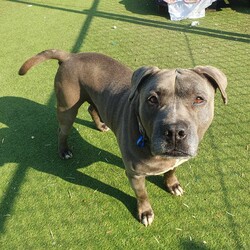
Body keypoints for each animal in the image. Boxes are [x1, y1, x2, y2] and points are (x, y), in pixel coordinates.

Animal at [18, 49, 228, 227]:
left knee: (92, 108)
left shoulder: (174, 160)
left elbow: (171, 171)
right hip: (67, 108)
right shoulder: (135, 174)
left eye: (199, 99)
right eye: (152, 99)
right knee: (62, 130)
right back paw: (64, 150)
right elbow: (142, 194)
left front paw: (172, 184)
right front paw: (145, 212)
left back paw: (101, 125)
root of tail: (71, 55)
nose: (174, 131)